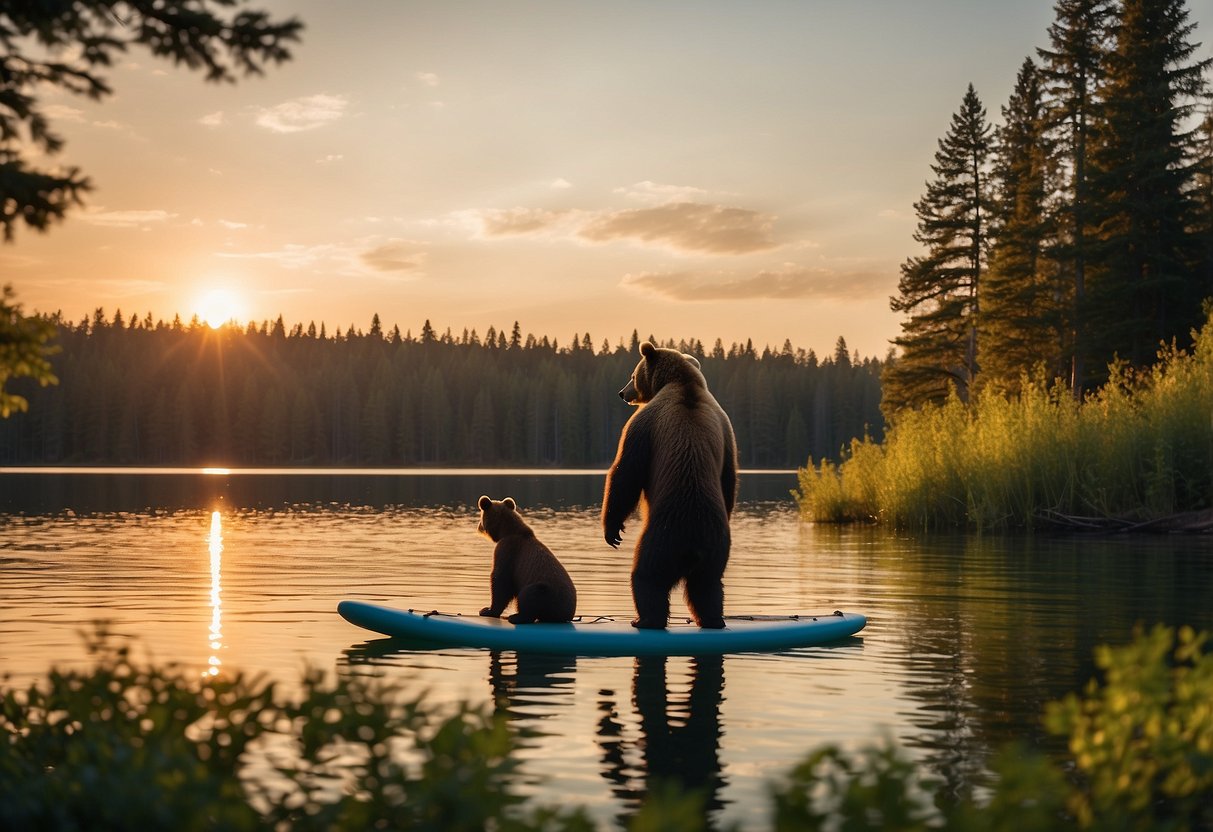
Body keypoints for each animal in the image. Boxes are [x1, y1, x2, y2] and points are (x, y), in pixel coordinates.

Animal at [475, 494, 574, 625]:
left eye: (481, 517)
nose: (478, 526)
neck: (506, 531)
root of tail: (567, 615)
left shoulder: (508, 550)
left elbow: (501, 580)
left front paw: (487, 610)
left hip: (547, 592)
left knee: (529, 595)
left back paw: (516, 617)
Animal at [604, 342, 737, 630]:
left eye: (633, 374)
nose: (622, 393)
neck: (682, 383)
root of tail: (692, 543)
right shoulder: (726, 431)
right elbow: (729, 478)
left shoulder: (643, 423)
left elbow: (626, 472)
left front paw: (613, 530)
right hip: (716, 546)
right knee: (707, 586)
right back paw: (713, 619)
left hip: (662, 538)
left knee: (647, 576)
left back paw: (644, 619)